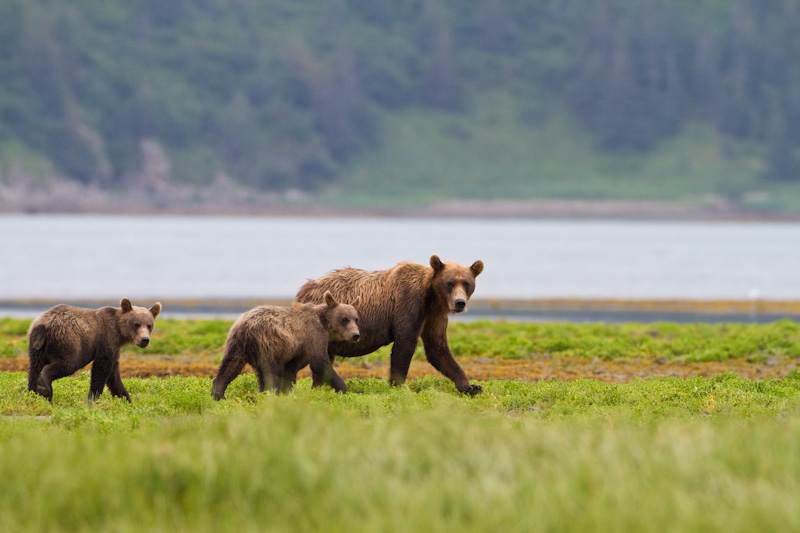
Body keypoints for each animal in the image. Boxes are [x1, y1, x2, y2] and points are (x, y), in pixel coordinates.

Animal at [294, 254, 482, 394]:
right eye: (450, 283)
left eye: (466, 283)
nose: (459, 303)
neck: (431, 297)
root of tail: (303, 291)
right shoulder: (408, 303)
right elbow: (404, 344)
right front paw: (398, 386)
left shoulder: (434, 316)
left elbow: (437, 348)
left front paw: (471, 386)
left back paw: (318, 387)